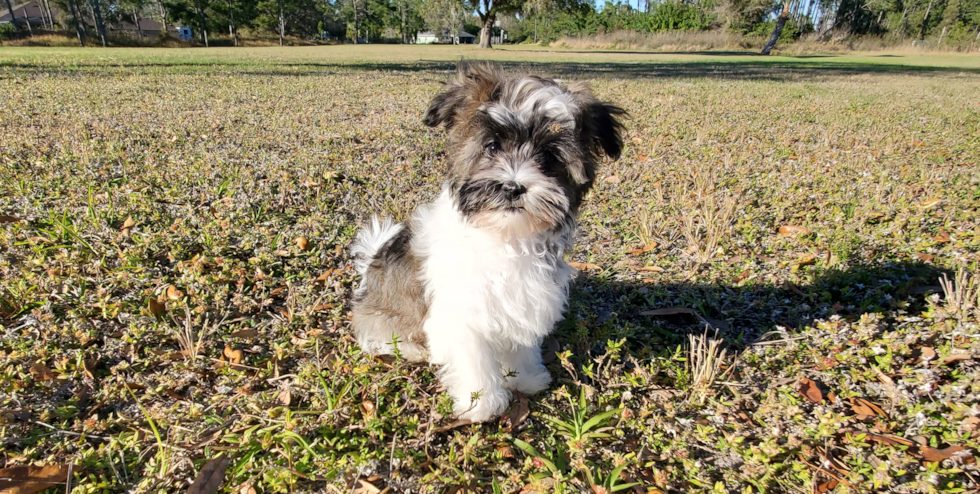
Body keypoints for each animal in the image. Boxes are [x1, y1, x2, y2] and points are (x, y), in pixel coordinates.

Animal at [352, 63, 628, 422]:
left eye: (549, 156)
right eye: (493, 147)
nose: (512, 187)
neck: (504, 236)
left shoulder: (525, 299)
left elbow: (521, 343)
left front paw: (526, 377)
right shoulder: (461, 312)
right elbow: (473, 358)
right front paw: (482, 402)